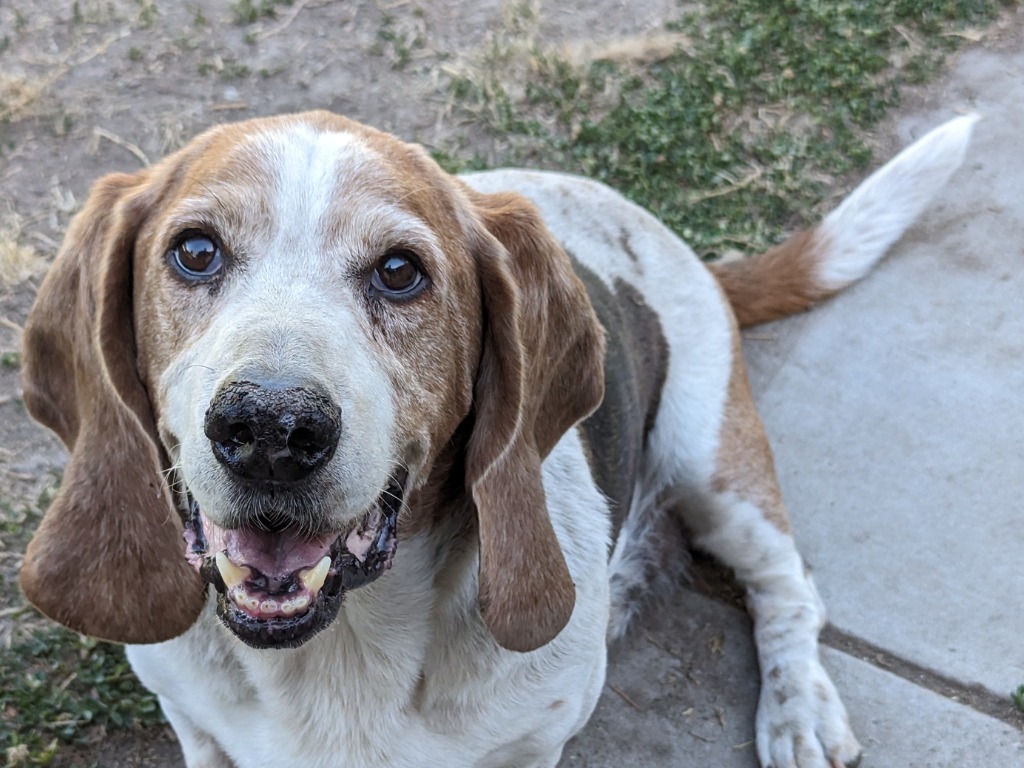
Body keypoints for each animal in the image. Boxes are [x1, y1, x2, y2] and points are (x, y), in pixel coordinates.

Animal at [19, 109, 970, 768]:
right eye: (195, 252)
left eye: (400, 271)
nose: (269, 429)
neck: (339, 652)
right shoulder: (195, 724)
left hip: (715, 469)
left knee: (789, 588)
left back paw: (799, 711)